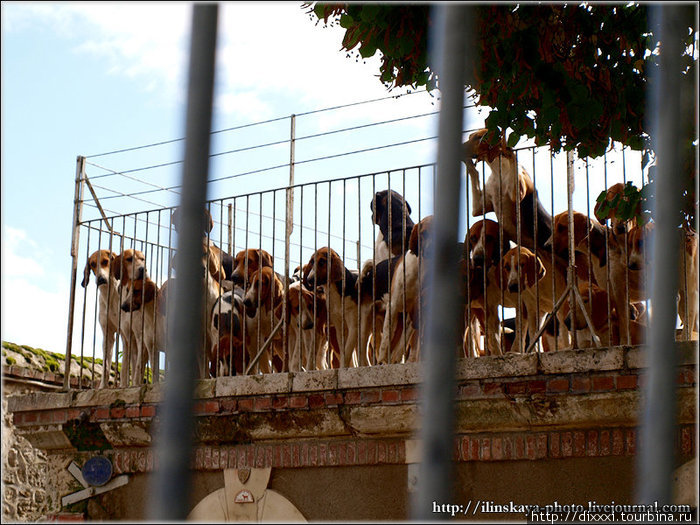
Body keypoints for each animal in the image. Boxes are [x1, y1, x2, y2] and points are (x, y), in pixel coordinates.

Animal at [82, 248, 124, 386]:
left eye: (105, 261)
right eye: (92, 264)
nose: (100, 279)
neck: (110, 295)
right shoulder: (108, 335)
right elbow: (105, 367)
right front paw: (102, 387)